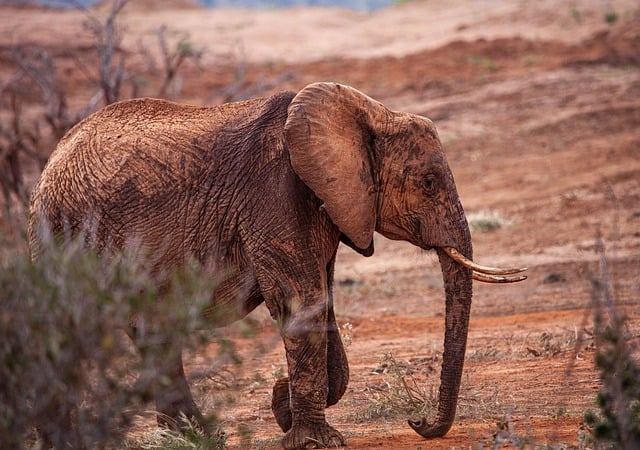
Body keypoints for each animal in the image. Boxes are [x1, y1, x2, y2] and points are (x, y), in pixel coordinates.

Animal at [28, 82, 524, 448]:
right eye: (429, 181)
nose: (417, 422)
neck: (367, 113)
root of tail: (49, 162)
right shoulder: (276, 195)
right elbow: (301, 301)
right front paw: (313, 440)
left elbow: (322, 305)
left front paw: (282, 405)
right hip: (60, 234)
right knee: (63, 332)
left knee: (153, 332)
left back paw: (195, 435)